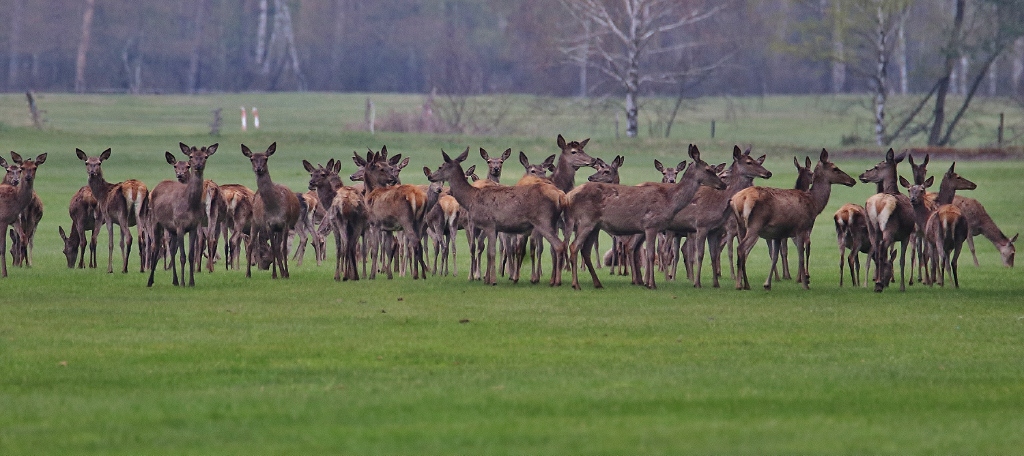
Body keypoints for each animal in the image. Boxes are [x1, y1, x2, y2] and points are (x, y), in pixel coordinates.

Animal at [147, 143, 217, 286]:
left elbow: (190, 256)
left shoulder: (193, 227)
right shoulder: (180, 225)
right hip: (155, 220)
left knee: (172, 249)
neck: (190, 204)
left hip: (170, 227)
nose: (198, 165)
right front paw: (184, 283)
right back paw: (150, 281)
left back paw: (174, 280)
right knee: (155, 247)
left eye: (205, 156)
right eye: (191, 156)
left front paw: (191, 282)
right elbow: (183, 256)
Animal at [239, 141, 299, 276]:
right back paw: (247, 273)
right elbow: (273, 248)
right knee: (251, 244)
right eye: (251, 158)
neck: (274, 207)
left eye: (266, 158)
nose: (258, 168)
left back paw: (283, 272)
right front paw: (275, 275)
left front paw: (286, 273)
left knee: (277, 247)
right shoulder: (268, 224)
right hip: (255, 222)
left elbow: (282, 248)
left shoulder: (285, 223)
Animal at [425, 148, 569, 284]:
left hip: (543, 220)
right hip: (553, 222)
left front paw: (492, 280)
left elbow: (491, 252)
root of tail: (561, 196)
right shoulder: (493, 228)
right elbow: (488, 251)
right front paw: (487, 279)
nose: (430, 176)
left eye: (440, 166)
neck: (471, 198)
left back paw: (556, 281)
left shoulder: (488, 224)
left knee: (558, 245)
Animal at [565, 143, 724, 288]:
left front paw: (647, 282)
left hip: (595, 226)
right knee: (574, 246)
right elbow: (650, 254)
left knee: (585, 250)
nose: (723, 184)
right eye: (708, 169)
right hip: (586, 220)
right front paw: (651, 284)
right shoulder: (651, 224)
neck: (669, 201)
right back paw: (576, 284)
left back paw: (597, 283)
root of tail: (570, 196)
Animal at [729, 149, 856, 291]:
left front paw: (767, 284)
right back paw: (739, 284)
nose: (852, 180)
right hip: (755, 225)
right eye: (835, 168)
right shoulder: (801, 228)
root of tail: (739, 199)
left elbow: (774, 257)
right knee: (741, 248)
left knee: (742, 250)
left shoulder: (778, 233)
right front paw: (805, 283)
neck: (814, 203)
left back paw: (745, 284)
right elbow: (801, 256)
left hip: (741, 226)